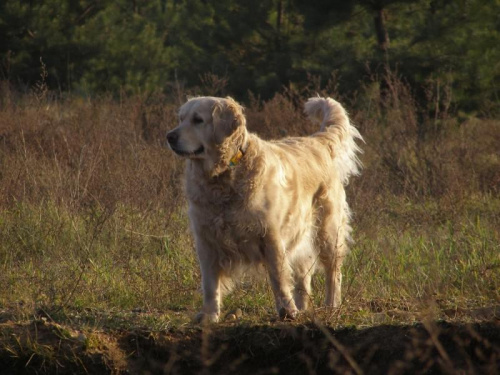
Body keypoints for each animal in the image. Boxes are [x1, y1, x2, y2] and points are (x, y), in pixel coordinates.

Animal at [166, 97, 362, 324]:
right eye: (181, 119)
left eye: (198, 120)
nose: (170, 136)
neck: (223, 178)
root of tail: (317, 141)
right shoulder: (206, 240)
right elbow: (209, 283)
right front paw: (209, 315)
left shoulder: (270, 235)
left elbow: (278, 276)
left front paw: (287, 310)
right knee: (304, 273)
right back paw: (303, 306)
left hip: (327, 231)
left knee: (333, 271)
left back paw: (331, 305)